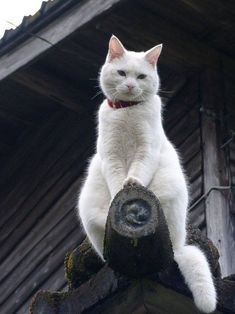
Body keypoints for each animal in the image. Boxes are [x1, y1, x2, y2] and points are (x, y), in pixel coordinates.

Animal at [78, 35, 217, 312]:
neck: (127, 111)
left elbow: (137, 171)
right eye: (122, 73)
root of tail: (178, 244)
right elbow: (115, 180)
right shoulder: (111, 155)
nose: (131, 85)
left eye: (141, 76)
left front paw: (131, 183)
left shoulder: (146, 149)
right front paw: (118, 192)